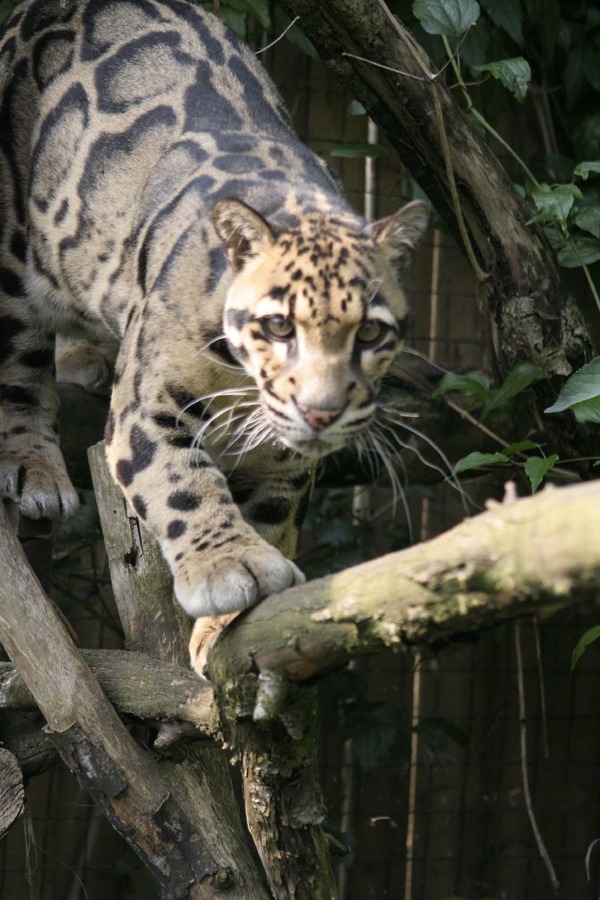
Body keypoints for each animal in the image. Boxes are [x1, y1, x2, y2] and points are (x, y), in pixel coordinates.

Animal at [2, 0, 428, 668]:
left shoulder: (286, 459)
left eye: (369, 334)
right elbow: (180, 482)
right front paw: (226, 566)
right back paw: (35, 469)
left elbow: (274, 513)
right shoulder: (143, 403)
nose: (322, 411)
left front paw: (223, 624)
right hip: (12, 244)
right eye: (278, 325)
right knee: (17, 361)